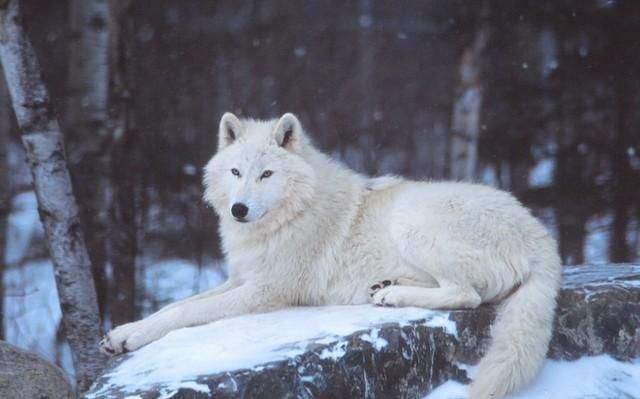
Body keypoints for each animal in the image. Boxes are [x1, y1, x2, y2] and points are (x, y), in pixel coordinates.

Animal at [100, 113, 560, 399]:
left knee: (467, 295)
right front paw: (123, 333)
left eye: (267, 174)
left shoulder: (266, 291)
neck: (289, 215)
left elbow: (183, 312)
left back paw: (392, 295)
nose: (238, 210)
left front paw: (133, 336)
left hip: (411, 222)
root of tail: (542, 236)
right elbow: (174, 306)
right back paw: (387, 285)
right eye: (235, 172)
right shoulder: (240, 279)